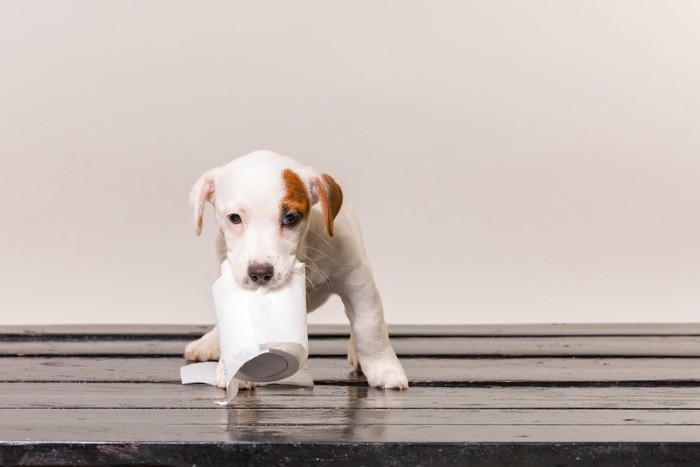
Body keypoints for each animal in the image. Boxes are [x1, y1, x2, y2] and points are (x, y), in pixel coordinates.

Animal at [186, 151, 408, 392]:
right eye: (234, 218)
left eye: (290, 217)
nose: (260, 273)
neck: (303, 254)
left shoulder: (357, 281)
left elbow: (369, 326)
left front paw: (383, 368)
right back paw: (209, 342)